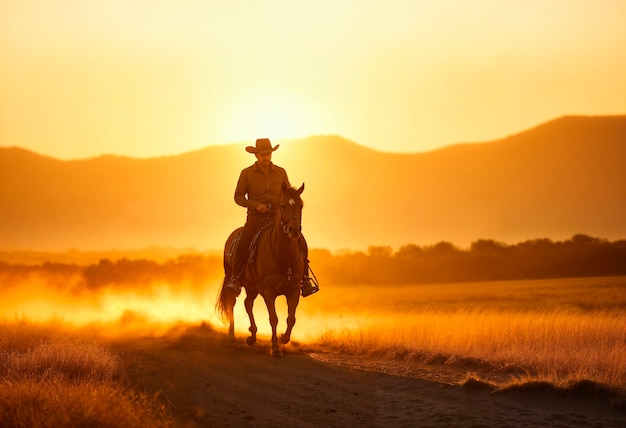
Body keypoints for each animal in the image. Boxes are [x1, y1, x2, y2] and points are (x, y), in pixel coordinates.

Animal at [216, 182, 306, 356]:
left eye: (301, 205)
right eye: (283, 206)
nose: (294, 230)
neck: (283, 256)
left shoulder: (293, 290)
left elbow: (291, 318)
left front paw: (284, 338)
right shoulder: (268, 292)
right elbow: (274, 318)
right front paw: (276, 348)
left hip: (252, 287)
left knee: (247, 303)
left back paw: (252, 336)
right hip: (233, 280)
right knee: (232, 302)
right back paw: (231, 335)